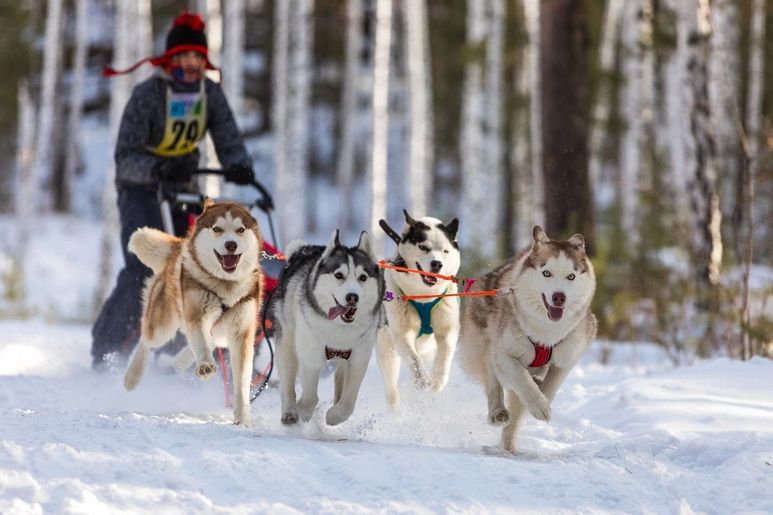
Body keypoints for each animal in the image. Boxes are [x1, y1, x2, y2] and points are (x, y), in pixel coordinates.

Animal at [122, 200, 262, 426]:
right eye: (217, 229)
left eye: (240, 230)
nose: (231, 244)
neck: (225, 287)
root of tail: (179, 247)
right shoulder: (197, 315)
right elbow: (202, 345)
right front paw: (205, 365)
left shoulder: (241, 332)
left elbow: (241, 380)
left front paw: (243, 418)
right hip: (163, 325)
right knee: (147, 341)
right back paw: (132, 376)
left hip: (219, 333)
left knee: (192, 349)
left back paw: (180, 364)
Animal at [272, 232, 382, 426]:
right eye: (339, 275)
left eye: (363, 277)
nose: (352, 297)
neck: (339, 329)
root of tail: (303, 249)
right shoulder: (310, 357)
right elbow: (310, 398)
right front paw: (303, 411)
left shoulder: (359, 359)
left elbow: (348, 403)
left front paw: (334, 415)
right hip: (287, 343)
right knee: (287, 383)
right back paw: (290, 411)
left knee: (339, 379)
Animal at [374, 210, 458, 408]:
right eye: (423, 247)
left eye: (445, 251)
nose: (437, 264)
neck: (424, 297)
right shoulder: (401, 334)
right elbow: (414, 361)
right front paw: (423, 381)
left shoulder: (447, 328)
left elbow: (444, 356)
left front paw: (437, 381)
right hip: (387, 348)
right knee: (391, 383)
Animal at [458, 228, 596, 454]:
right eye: (546, 273)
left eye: (571, 276)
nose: (559, 297)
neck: (546, 334)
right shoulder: (503, 354)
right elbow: (519, 376)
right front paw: (539, 405)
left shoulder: (568, 357)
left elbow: (550, 385)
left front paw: (541, 399)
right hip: (483, 342)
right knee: (493, 380)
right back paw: (497, 411)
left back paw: (508, 446)